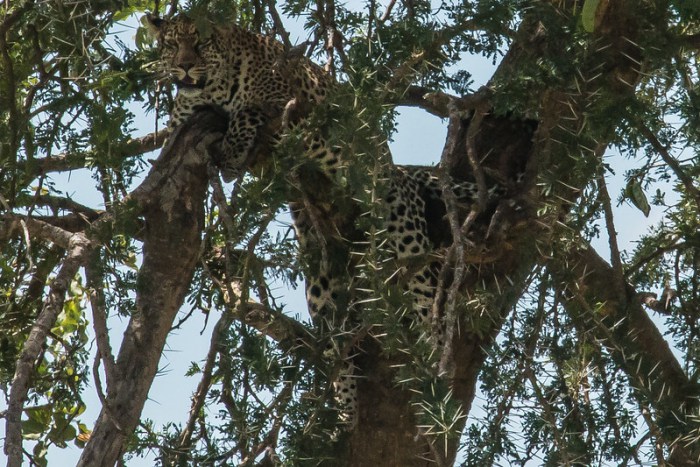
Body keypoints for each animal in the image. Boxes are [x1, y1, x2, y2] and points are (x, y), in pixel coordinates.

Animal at [148, 13, 504, 432]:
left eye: (200, 44)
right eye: (172, 45)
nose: (185, 66)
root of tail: (402, 171)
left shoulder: (288, 106)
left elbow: (249, 110)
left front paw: (234, 151)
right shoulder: (182, 124)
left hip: (401, 225)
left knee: (427, 295)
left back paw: (433, 362)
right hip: (320, 273)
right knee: (338, 343)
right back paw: (344, 406)